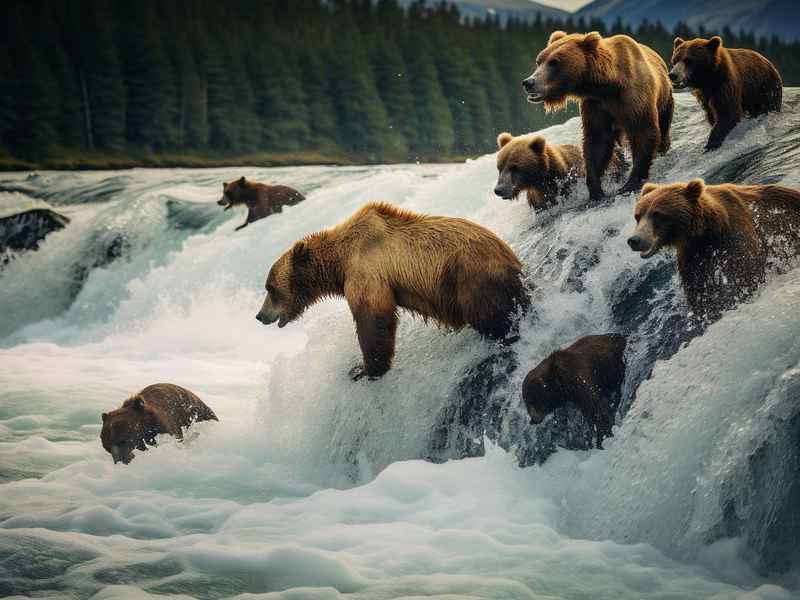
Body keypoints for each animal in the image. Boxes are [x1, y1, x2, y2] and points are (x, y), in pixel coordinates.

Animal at [255, 202, 529, 380]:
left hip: (472, 276)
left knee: (492, 314)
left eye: (270, 287)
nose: (260, 315)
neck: (339, 262)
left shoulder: (366, 270)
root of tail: (510, 256)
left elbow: (374, 317)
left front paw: (364, 369)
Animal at [522, 30, 673, 201]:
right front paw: (596, 189)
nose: (529, 82)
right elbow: (597, 142)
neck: (606, 86)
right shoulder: (596, 106)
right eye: (539, 61)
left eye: (554, 62)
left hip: (664, 96)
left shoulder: (634, 97)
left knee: (663, 122)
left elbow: (643, 132)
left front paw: (629, 184)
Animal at [627, 179, 800, 322]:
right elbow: (699, 292)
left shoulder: (737, 239)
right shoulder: (693, 257)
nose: (634, 240)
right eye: (638, 216)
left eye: (658, 214)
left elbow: (744, 276)